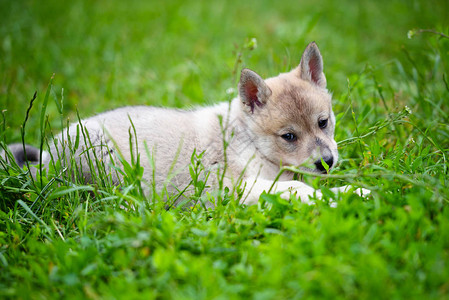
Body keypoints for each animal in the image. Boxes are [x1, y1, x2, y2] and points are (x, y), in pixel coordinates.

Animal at [5, 42, 366, 205]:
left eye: (323, 122)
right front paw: (335, 197)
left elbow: (314, 186)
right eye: (288, 136)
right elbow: (299, 189)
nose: (327, 161)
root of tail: (47, 158)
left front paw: (354, 190)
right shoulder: (232, 186)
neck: (248, 140)